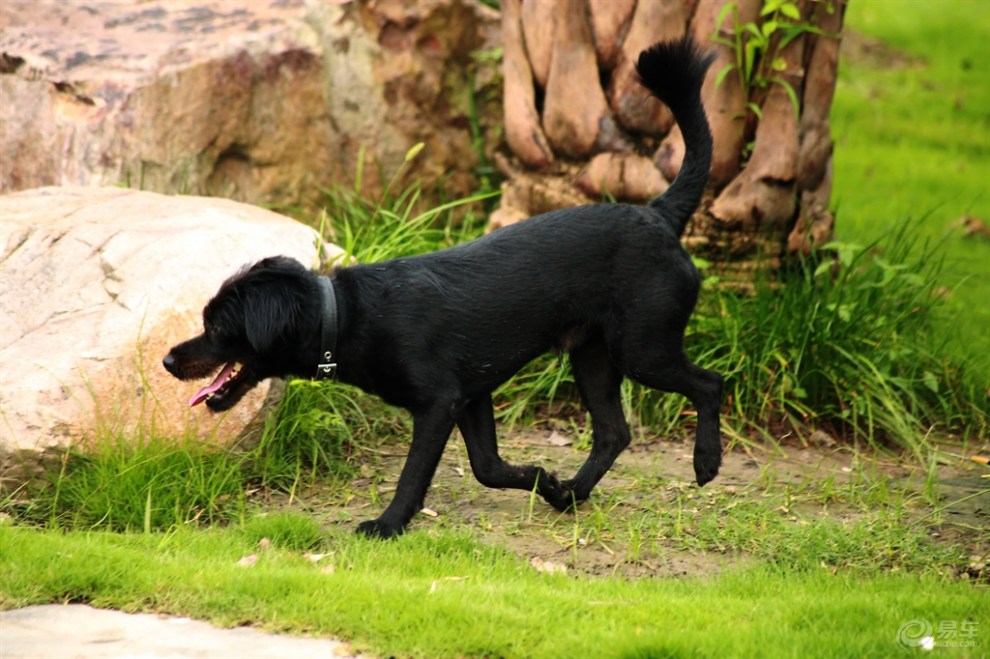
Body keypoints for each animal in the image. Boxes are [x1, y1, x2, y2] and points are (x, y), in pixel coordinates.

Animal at [167, 38, 724, 540]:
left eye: (216, 326)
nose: (169, 359)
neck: (343, 314)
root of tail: (659, 214)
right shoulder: (472, 395)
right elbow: (488, 468)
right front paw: (542, 481)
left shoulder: (438, 404)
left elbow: (415, 474)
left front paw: (388, 525)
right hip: (592, 355)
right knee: (613, 432)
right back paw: (572, 494)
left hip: (642, 349)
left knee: (709, 383)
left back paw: (706, 461)